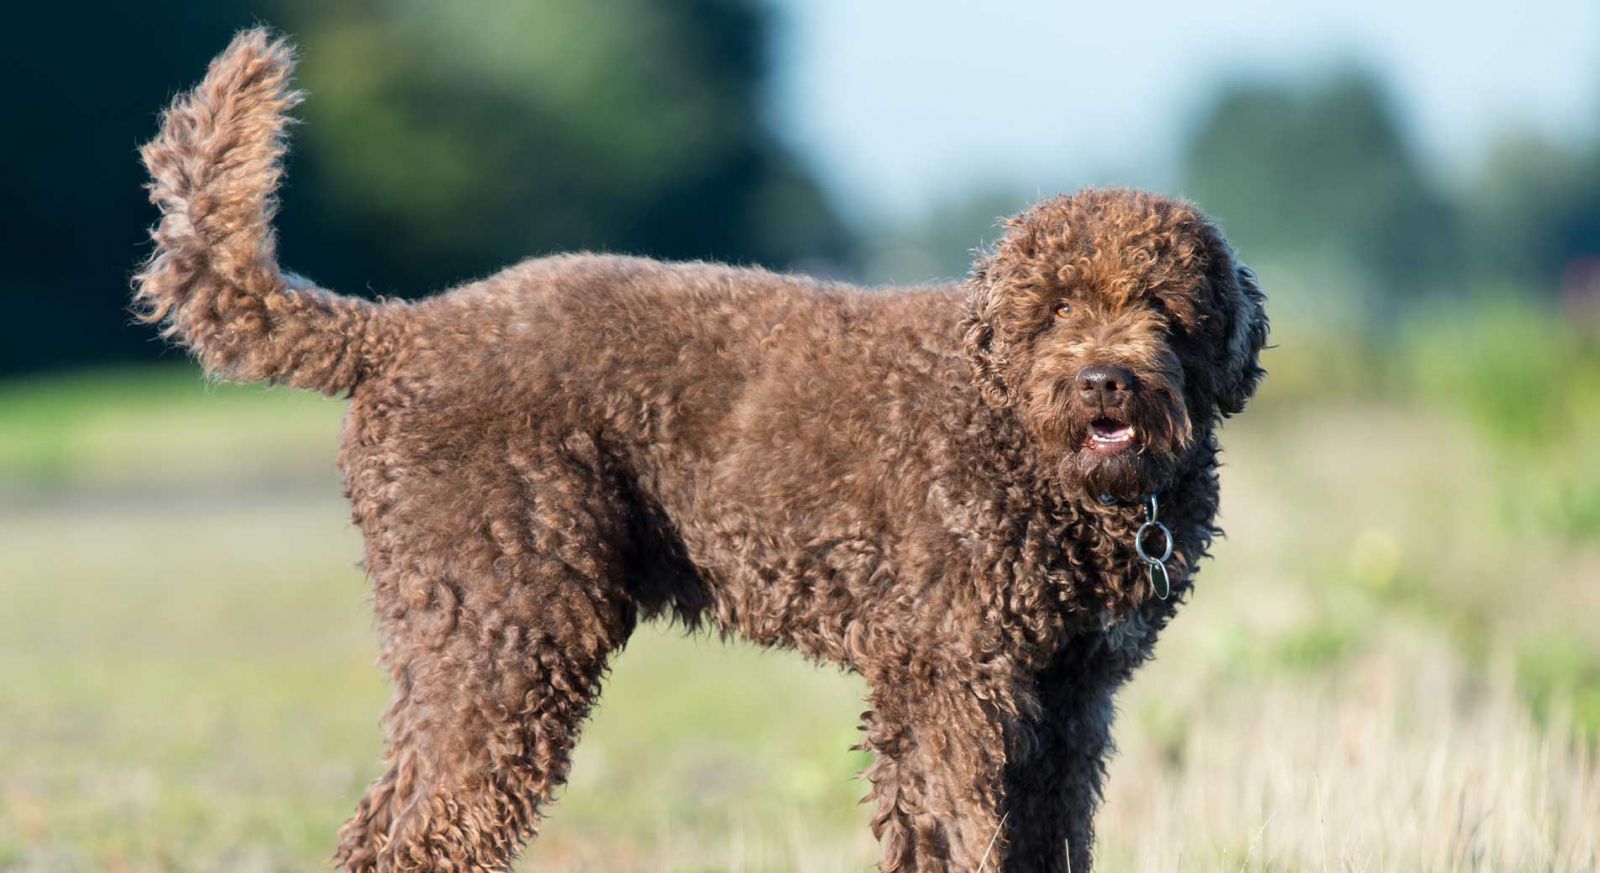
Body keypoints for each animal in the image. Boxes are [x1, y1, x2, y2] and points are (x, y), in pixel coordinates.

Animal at [131, 28, 1267, 869]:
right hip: (502, 623)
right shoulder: (957, 680)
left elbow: (1036, 839)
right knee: (420, 831)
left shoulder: (1067, 698)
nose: (1104, 381)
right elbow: (965, 836)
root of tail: (401, 331)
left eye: (1163, 305)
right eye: (1055, 308)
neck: (1038, 458)